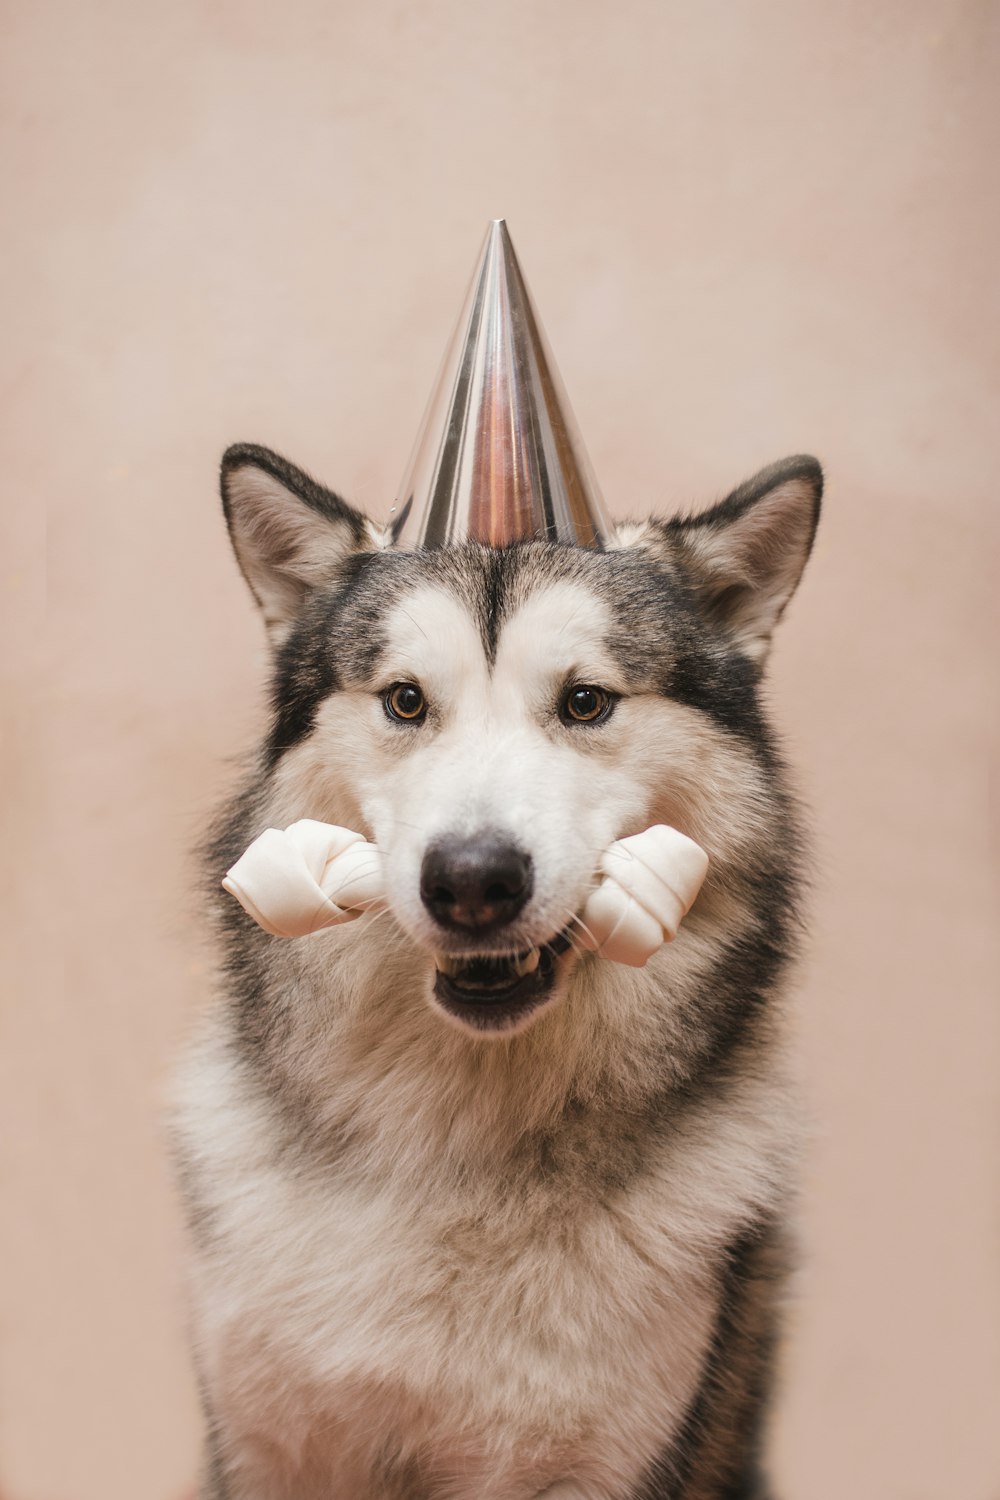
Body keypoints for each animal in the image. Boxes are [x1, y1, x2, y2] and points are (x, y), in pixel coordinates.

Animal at [172, 438, 821, 1494]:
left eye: (586, 701)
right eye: (404, 701)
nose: (472, 881)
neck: (459, 1153)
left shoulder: (591, 1465)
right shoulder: (277, 1449)